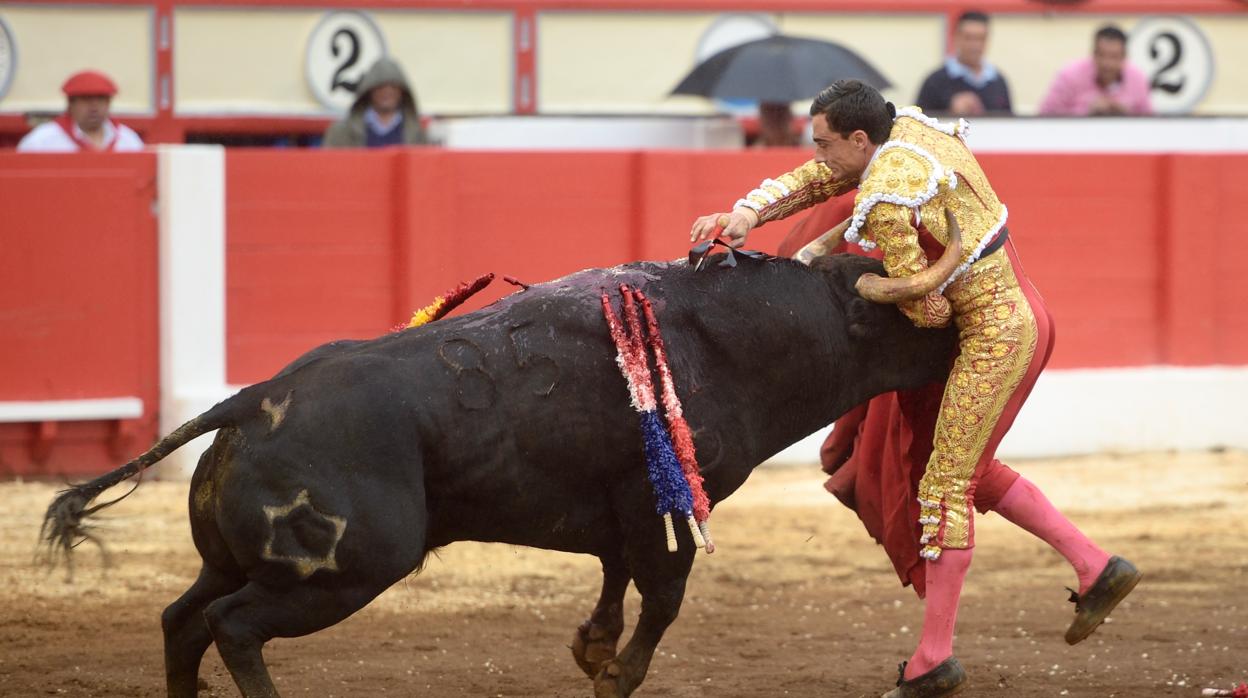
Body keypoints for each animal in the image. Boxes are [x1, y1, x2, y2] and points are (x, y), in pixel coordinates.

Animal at [39, 252, 953, 698]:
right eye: (922, 314)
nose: (976, 328)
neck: (735, 336)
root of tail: (256, 397)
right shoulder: (660, 512)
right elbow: (661, 601)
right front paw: (612, 673)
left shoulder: (614, 509)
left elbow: (615, 581)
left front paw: (591, 649)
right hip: (344, 572)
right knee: (230, 626)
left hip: (235, 560)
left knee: (181, 619)